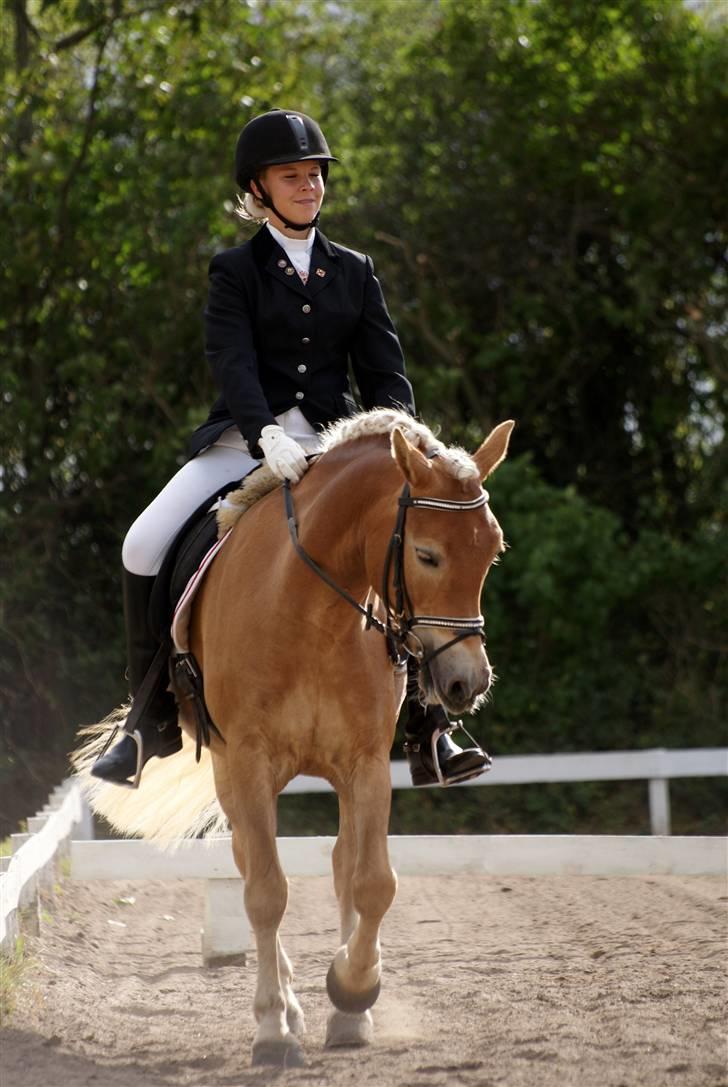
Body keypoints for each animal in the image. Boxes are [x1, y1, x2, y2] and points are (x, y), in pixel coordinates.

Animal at [73, 408, 517, 1069]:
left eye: (492, 553)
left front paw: (352, 993)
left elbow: (372, 883)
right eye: (427, 554)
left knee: (338, 865)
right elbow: (265, 892)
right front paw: (274, 1029)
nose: (468, 683)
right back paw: (285, 1006)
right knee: (252, 867)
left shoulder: (364, 764)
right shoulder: (248, 763)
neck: (313, 613)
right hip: (231, 772)